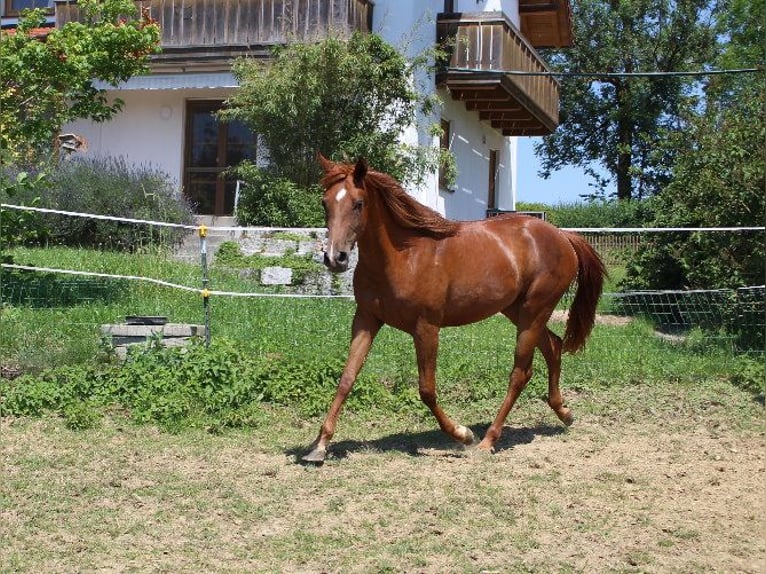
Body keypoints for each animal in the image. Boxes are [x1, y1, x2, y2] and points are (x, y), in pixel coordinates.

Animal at [304, 156, 608, 464]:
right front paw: (319, 446)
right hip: (518, 311)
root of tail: (562, 236)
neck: (403, 256)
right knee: (554, 347)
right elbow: (347, 378)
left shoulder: (426, 328)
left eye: (358, 203)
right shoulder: (366, 319)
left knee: (520, 373)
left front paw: (462, 434)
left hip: (534, 313)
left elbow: (426, 390)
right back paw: (564, 413)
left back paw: (488, 440)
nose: (335, 258)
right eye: (325, 203)